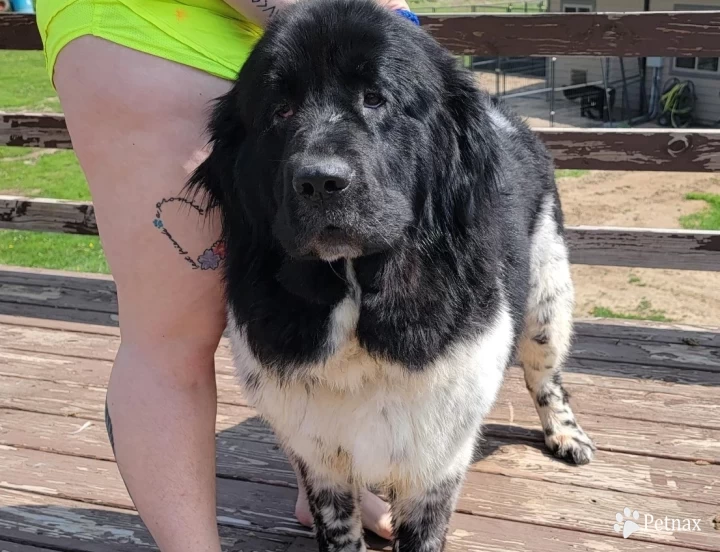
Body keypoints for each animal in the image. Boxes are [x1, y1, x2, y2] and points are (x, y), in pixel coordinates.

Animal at [188, 2, 592, 548]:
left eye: (376, 98)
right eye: (280, 111)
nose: (320, 180)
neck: (358, 295)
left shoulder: (435, 460)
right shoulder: (321, 457)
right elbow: (339, 530)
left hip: (547, 297)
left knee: (544, 374)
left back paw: (566, 434)